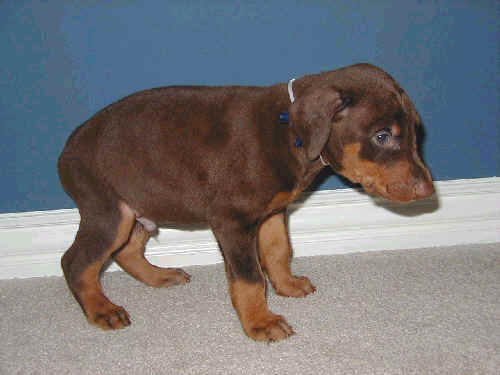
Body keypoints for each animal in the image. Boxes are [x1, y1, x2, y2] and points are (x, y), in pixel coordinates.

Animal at [57, 63, 434, 342]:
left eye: (417, 133)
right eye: (382, 136)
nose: (428, 191)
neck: (289, 132)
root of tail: (67, 151)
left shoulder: (272, 212)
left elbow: (278, 251)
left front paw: (287, 285)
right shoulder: (232, 221)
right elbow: (249, 278)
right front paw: (260, 323)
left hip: (141, 205)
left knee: (128, 250)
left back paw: (160, 276)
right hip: (109, 210)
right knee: (76, 262)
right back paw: (102, 309)